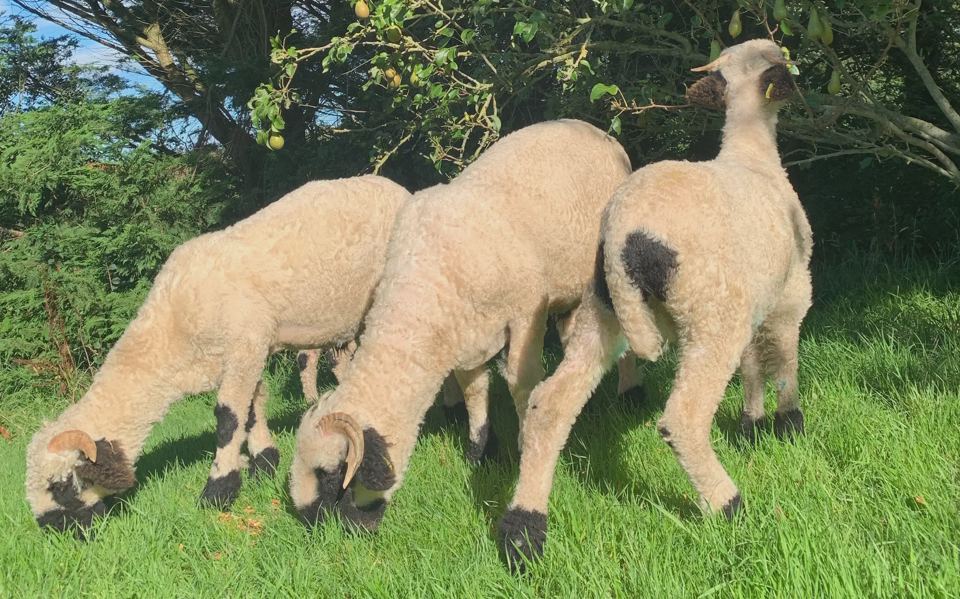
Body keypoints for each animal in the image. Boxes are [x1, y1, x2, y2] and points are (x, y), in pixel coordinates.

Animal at [24, 175, 416, 532]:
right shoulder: (242, 354)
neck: (170, 332)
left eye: (59, 485)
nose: (55, 530)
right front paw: (264, 462)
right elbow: (252, 410)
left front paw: (218, 491)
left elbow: (229, 418)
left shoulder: (246, 344)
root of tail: (396, 187)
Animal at [287, 119, 637, 532]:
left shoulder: (525, 315)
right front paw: (481, 451)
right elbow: (474, 392)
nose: (333, 529)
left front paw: (523, 445)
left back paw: (631, 394)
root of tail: (596, 130)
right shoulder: (470, 338)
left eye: (331, 474)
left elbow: (522, 384)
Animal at [497, 39, 813, 568]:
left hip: (603, 311)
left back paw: (522, 534)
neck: (752, 153)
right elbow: (785, 359)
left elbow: (753, 363)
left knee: (547, 405)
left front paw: (751, 423)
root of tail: (626, 232)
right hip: (710, 314)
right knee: (681, 419)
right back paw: (728, 504)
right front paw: (788, 424)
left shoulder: (755, 299)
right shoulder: (792, 291)